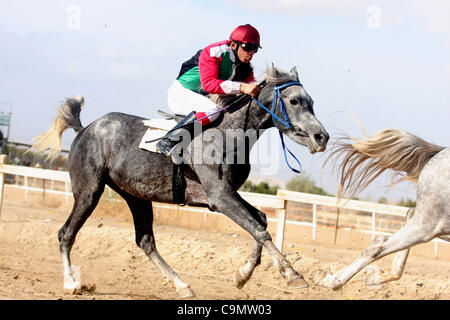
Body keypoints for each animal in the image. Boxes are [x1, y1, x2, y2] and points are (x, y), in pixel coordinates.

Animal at [29, 65, 330, 298]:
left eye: (313, 102)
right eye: (295, 101)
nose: (322, 137)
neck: (229, 132)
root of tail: (85, 130)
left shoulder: (224, 195)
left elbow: (262, 221)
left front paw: (242, 275)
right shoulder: (219, 196)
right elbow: (259, 229)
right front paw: (292, 274)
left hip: (136, 196)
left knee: (145, 241)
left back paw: (181, 284)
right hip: (89, 190)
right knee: (66, 233)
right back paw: (71, 282)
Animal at [318, 128, 448, 290]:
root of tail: (439, 152)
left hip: (436, 224)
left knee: (391, 232)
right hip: (429, 225)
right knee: (377, 247)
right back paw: (332, 281)